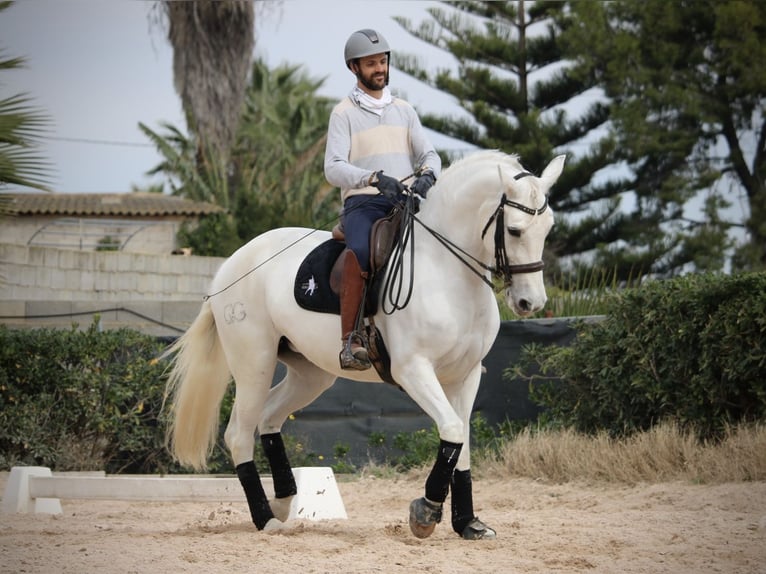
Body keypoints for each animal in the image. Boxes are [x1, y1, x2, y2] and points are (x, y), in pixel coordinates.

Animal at [163, 149, 566, 540]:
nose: (531, 303)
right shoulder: (413, 369)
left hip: (310, 374)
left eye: (548, 228)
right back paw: (266, 519)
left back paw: (283, 500)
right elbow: (452, 430)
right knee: (239, 433)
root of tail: (230, 266)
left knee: (269, 418)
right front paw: (425, 513)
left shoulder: (465, 375)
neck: (447, 272)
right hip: (254, 365)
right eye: (513, 230)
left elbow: (461, 440)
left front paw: (467, 523)